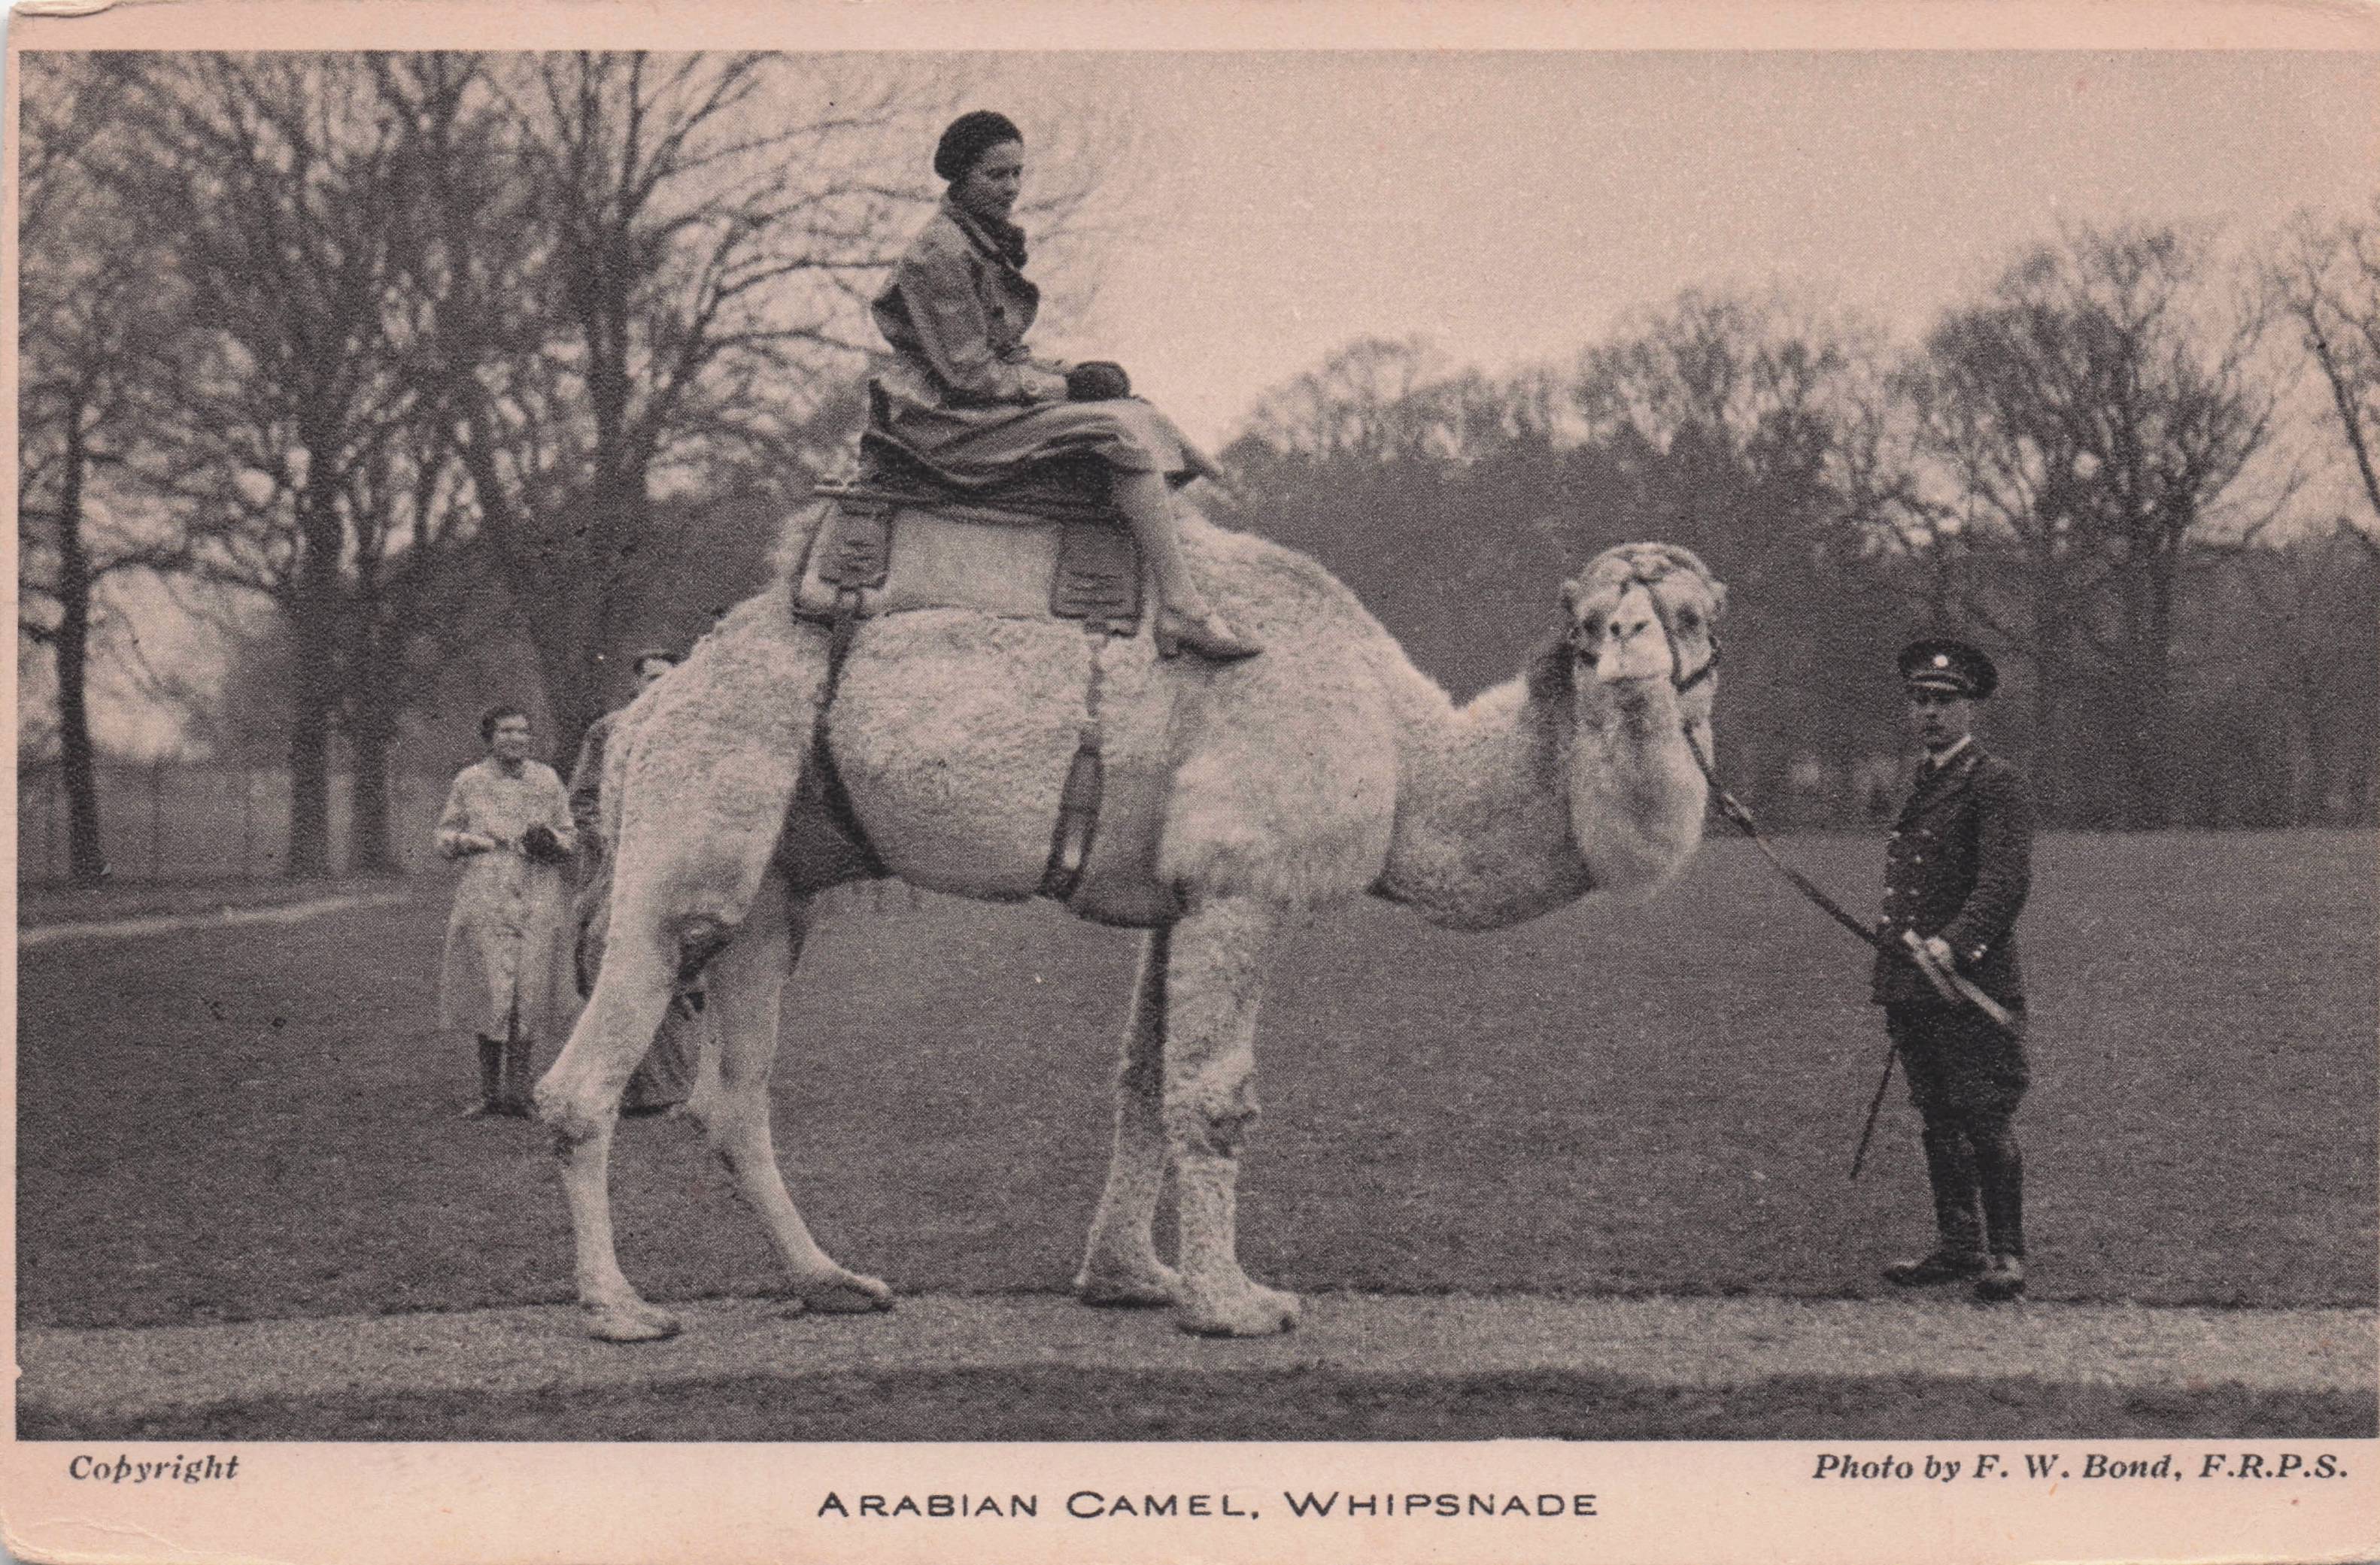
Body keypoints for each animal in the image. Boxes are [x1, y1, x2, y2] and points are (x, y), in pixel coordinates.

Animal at [536, 514, 1727, 1341]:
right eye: (1588, 624)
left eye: (1690, 616)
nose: (1627, 659)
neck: (1404, 752)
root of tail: (645, 711)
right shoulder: (1243, 886)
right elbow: (1216, 1099)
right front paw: (1233, 1303)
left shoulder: (1179, 901)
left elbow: (1144, 1083)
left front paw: (1131, 1279)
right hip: (686, 840)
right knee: (584, 1079)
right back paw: (620, 1310)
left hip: (772, 896)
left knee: (732, 1099)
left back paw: (832, 1282)